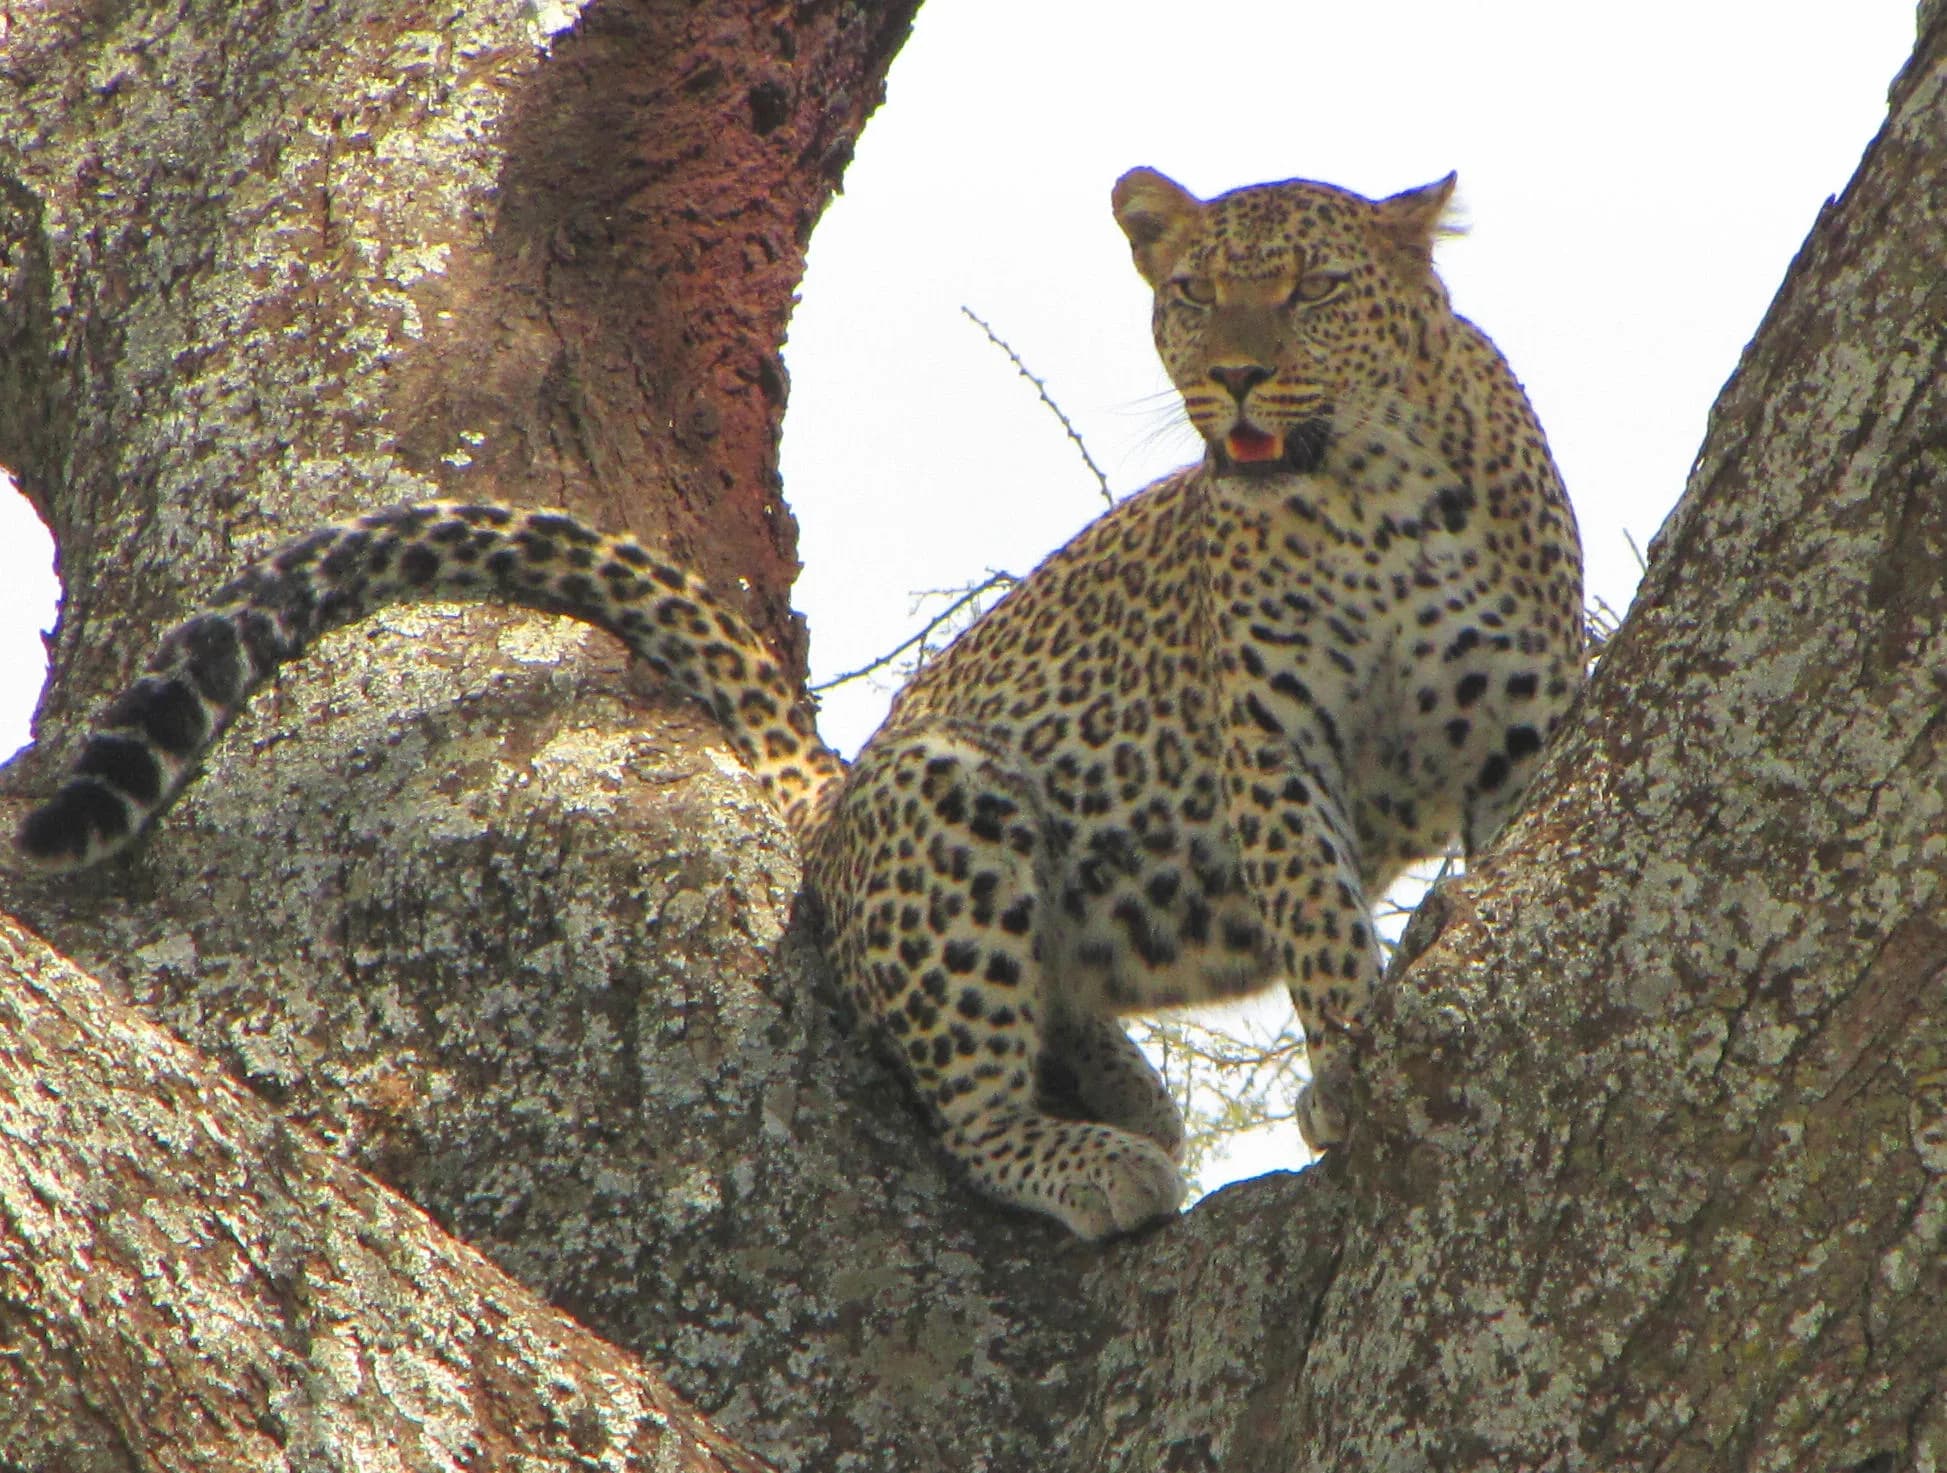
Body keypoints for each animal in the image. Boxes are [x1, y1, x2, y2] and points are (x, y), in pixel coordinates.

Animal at [17, 166, 1583, 1241]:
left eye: (1310, 286)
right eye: (1191, 290)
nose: (1236, 376)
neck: (1369, 501)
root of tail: (838, 789)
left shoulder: (1524, 718)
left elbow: (1505, 844)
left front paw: (1396, 1003)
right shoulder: (1269, 738)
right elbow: (1314, 915)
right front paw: (1348, 1064)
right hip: (952, 793)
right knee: (965, 1098)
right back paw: (1092, 1151)